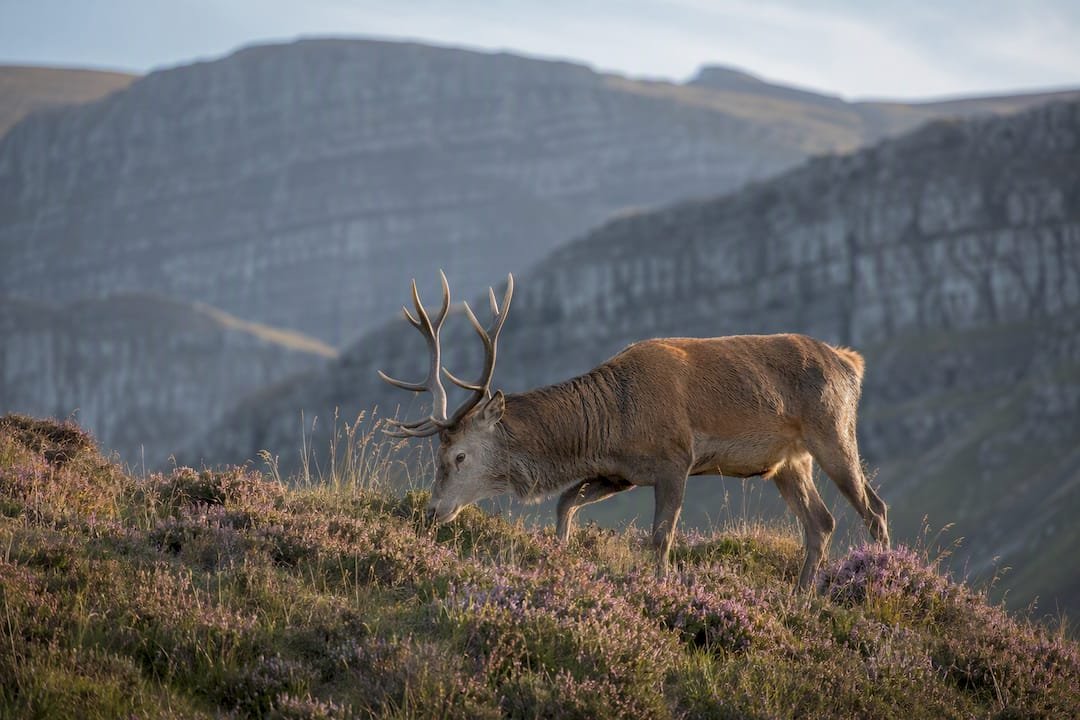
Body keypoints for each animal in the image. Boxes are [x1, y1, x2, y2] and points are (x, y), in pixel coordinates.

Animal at [379, 271, 890, 589]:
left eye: (458, 455)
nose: (432, 511)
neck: (609, 424)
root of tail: (851, 363)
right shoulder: (619, 473)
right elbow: (565, 502)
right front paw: (559, 557)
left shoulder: (675, 459)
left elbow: (661, 537)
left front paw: (660, 587)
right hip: (787, 462)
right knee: (821, 523)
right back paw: (801, 595)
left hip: (833, 431)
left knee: (873, 509)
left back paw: (882, 578)